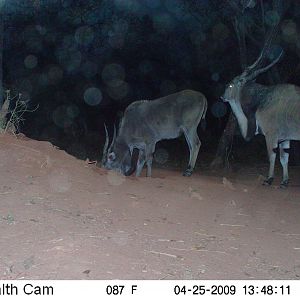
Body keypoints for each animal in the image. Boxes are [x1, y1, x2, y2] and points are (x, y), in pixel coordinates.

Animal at [220, 39, 300, 186]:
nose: (222, 97)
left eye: (230, 85)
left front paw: (269, 179)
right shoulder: (285, 139)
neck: (262, 99)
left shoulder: (271, 135)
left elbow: (272, 156)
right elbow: (284, 158)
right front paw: (284, 182)